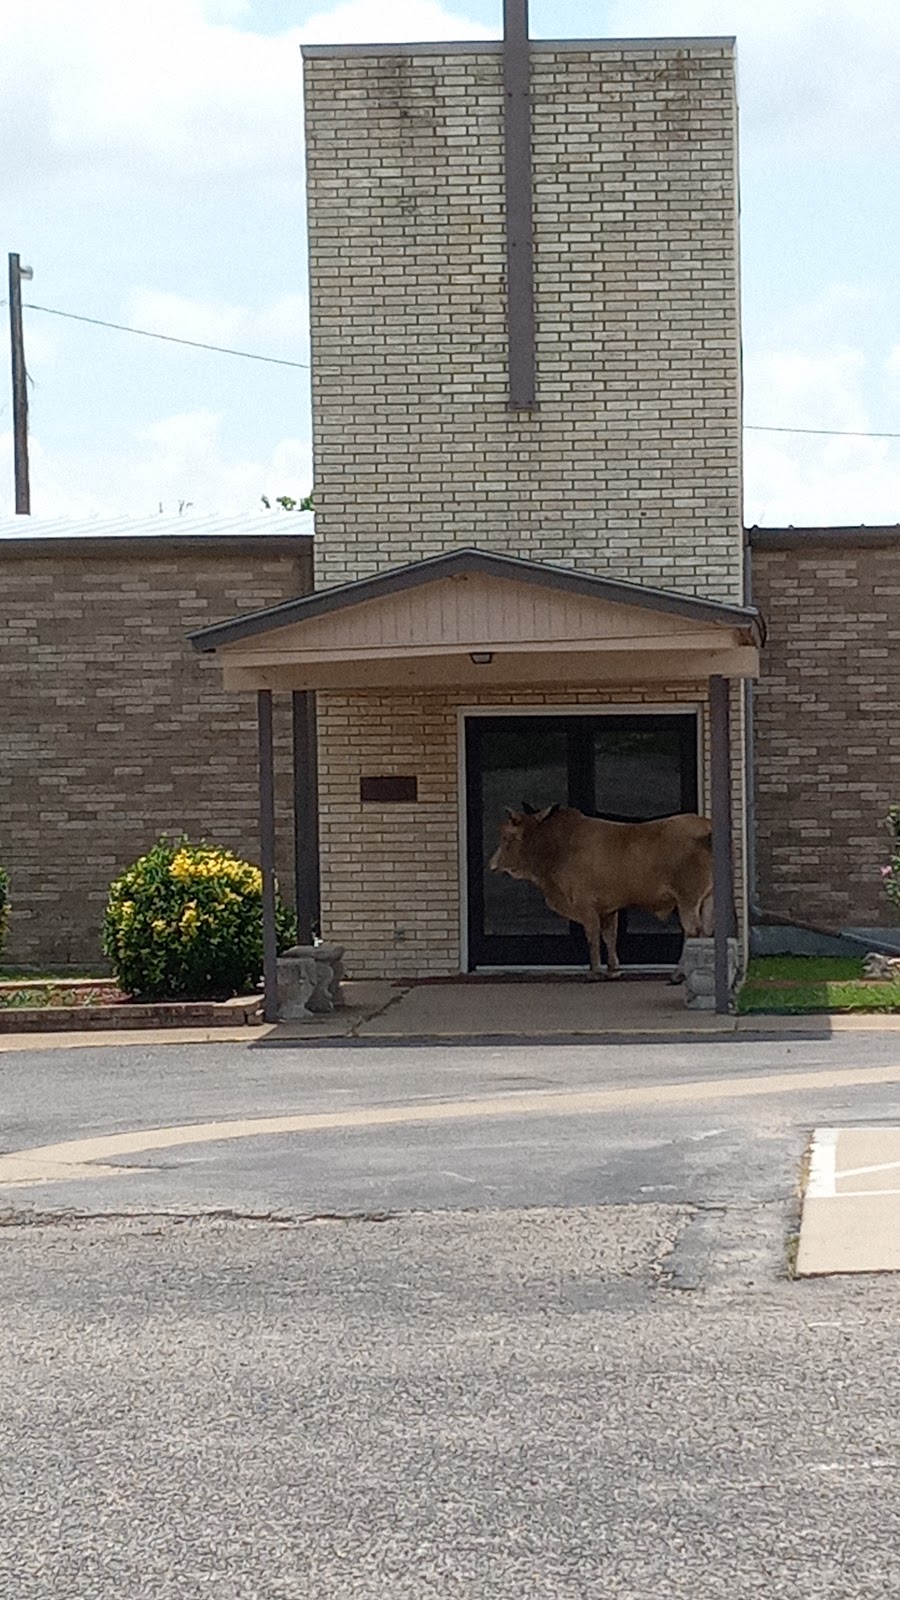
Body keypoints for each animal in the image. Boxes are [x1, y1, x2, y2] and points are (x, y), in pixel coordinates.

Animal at [486, 806, 711, 979]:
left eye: (507, 837)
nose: (492, 865)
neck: (558, 848)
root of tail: (706, 826)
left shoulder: (585, 904)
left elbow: (592, 935)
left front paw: (594, 971)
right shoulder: (608, 908)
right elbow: (609, 936)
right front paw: (613, 969)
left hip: (688, 898)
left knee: (692, 931)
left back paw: (678, 974)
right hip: (707, 899)